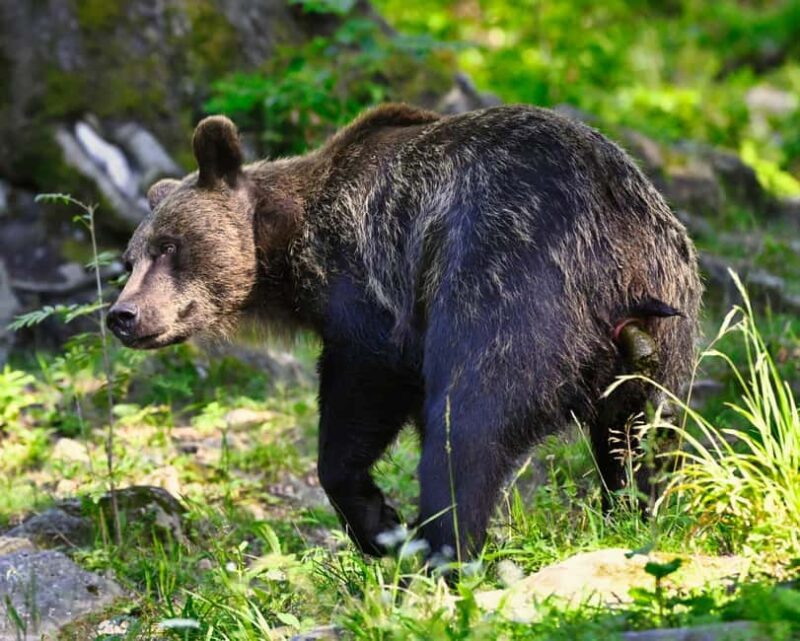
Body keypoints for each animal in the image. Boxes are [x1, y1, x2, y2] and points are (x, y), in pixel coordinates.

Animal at [107, 103, 702, 562]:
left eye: (168, 246)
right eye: (129, 260)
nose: (123, 315)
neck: (291, 248)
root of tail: (621, 244)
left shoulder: (372, 296)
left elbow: (361, 401)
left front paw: (380, 525)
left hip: (515, 283)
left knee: (469, 426)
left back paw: (441, 551)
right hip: (663, 334)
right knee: (640, 439)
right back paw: (630, 511)